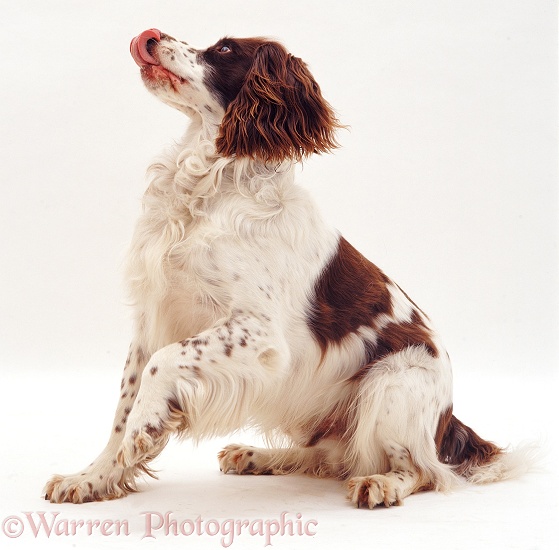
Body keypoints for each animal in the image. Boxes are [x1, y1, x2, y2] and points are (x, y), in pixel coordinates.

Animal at [43, 28, 528, 506]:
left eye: (224, 49)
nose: (149, 36)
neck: (210, 185)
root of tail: (449, 418)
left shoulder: (257, 332)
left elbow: (163, 365)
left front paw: (144, 429)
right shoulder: (152, 320)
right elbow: (124, 406)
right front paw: (93, 477)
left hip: (392, 384)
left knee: (421, 470)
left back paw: (382, 484)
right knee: (327, 455)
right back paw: (255, 455)